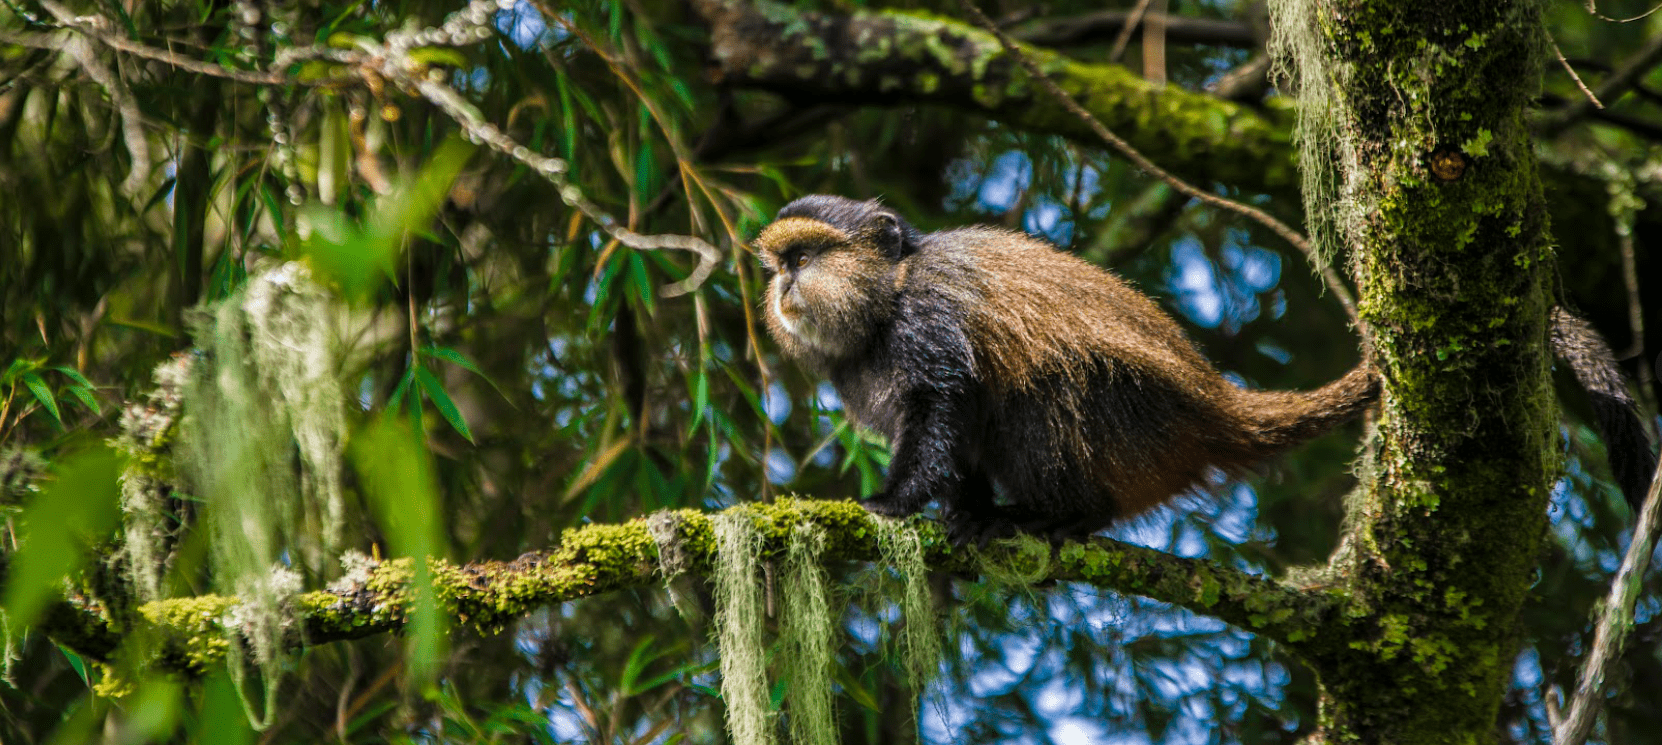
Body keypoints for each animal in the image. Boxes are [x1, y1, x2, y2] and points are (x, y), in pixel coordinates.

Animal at [755, 195, 1658, 542]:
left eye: (805, 256)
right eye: (778, 265)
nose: (784, 286)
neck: (884, 299)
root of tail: (1214, 405)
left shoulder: (929, 316)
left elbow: (945, 404)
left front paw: (890, 503)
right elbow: (953, 439)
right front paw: (963, 509)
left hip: (1132, 421)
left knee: (1040, 392)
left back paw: (1063, 515)